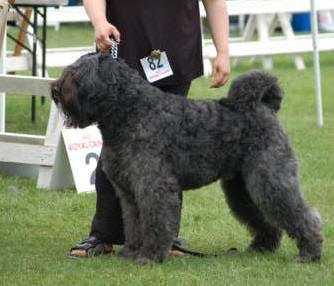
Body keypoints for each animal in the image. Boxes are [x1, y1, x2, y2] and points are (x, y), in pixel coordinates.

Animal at [51, 53, 322, 264]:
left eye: (77, 74)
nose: (55, 89)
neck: (130, 111)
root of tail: (263, 107)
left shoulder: (153, 186)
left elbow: (155, 221)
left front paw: (149, 256)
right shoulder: (128, 192)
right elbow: (134, 223)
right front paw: (131, 251)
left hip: (269, 179)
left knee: (301, 214)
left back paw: (310, 252)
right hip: (241, 187)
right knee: (261, 216)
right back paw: (262, 246)